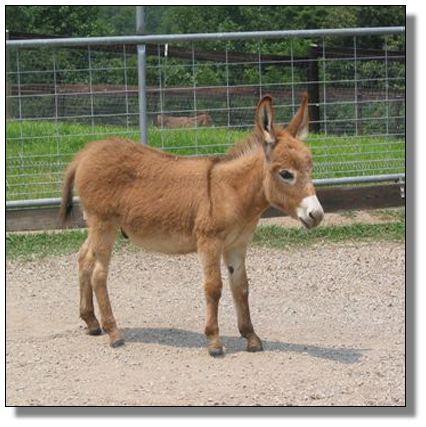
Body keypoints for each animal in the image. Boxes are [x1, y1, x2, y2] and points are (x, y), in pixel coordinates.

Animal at [59, 94, 324, 356]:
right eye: (286, 174)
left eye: (310, 169)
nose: (317, 214)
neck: (232, 192)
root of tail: (85, 152)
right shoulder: (209, 242)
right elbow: (214, 287)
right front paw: (214, 341)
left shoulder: (237, 245)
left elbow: (241, 287)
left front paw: (251, 337)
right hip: (104, 224)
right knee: (99, 274)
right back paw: (113, 332)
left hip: (97, 225)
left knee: (84, 258)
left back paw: (92, 322)